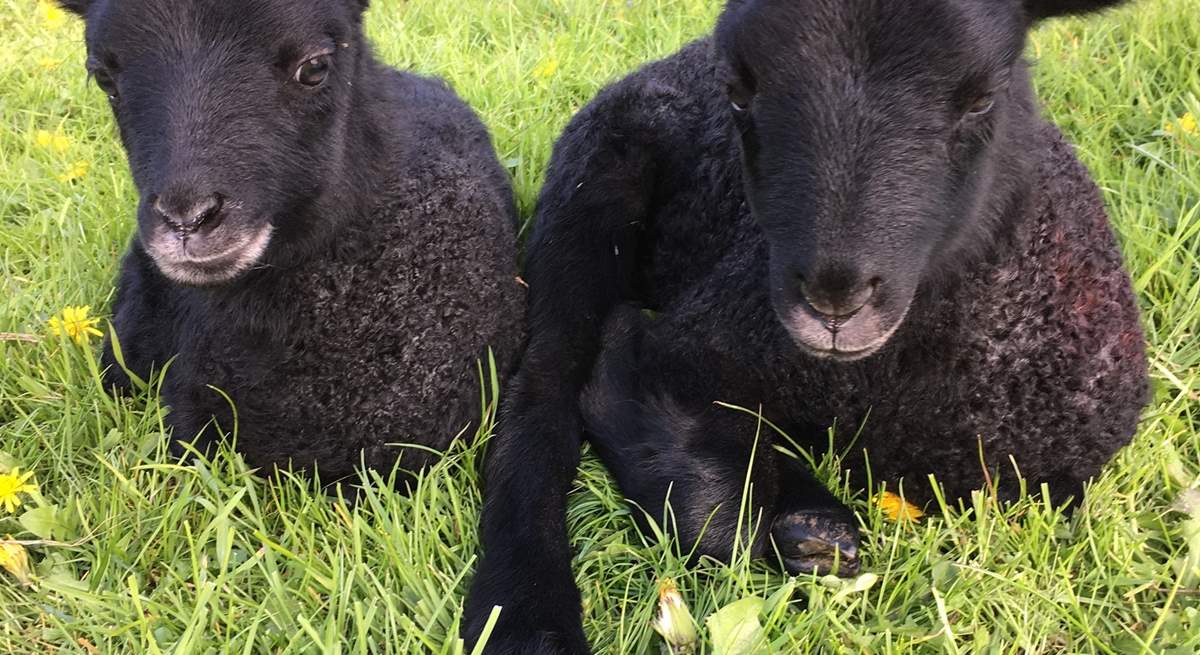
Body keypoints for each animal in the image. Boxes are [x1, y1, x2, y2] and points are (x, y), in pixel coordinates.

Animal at [463, 0, 1147, 647]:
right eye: (739, 91)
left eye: (983, 96)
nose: (832, 299)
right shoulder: (688, 346)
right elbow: (656, 435)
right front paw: (796, 524)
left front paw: (808, 530)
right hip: (589, 193)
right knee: (546, 381)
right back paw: (525, 619)